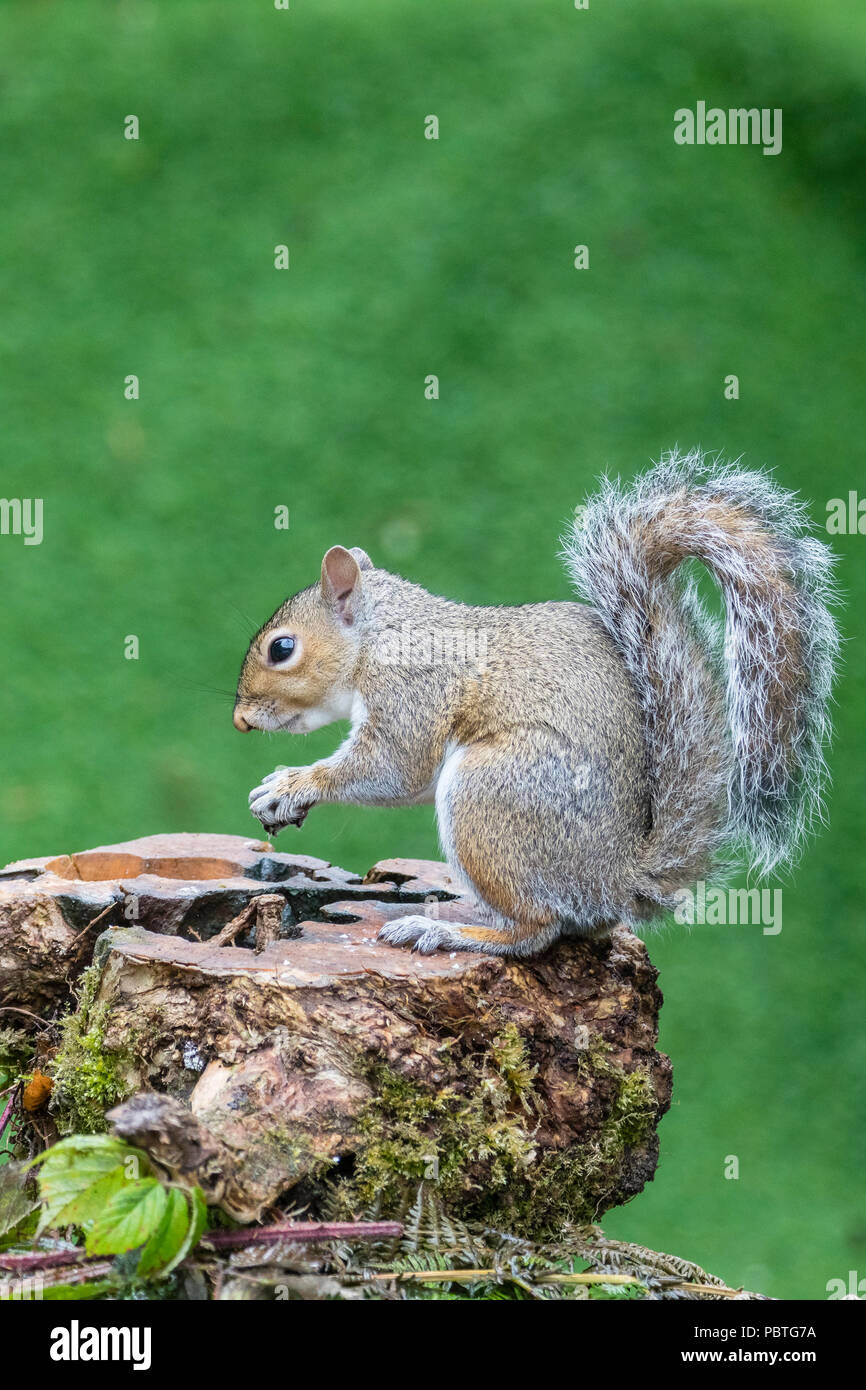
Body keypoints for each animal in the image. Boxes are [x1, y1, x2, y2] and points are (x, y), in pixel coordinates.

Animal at [233, 451, 839, 958]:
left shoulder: (412, 690)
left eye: (282, 648)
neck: (383, 635)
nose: (239, 720)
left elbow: (392, 768)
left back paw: (447, 930)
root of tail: (617, 879)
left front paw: (291, 784)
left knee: (537, 929)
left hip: (491, 792)